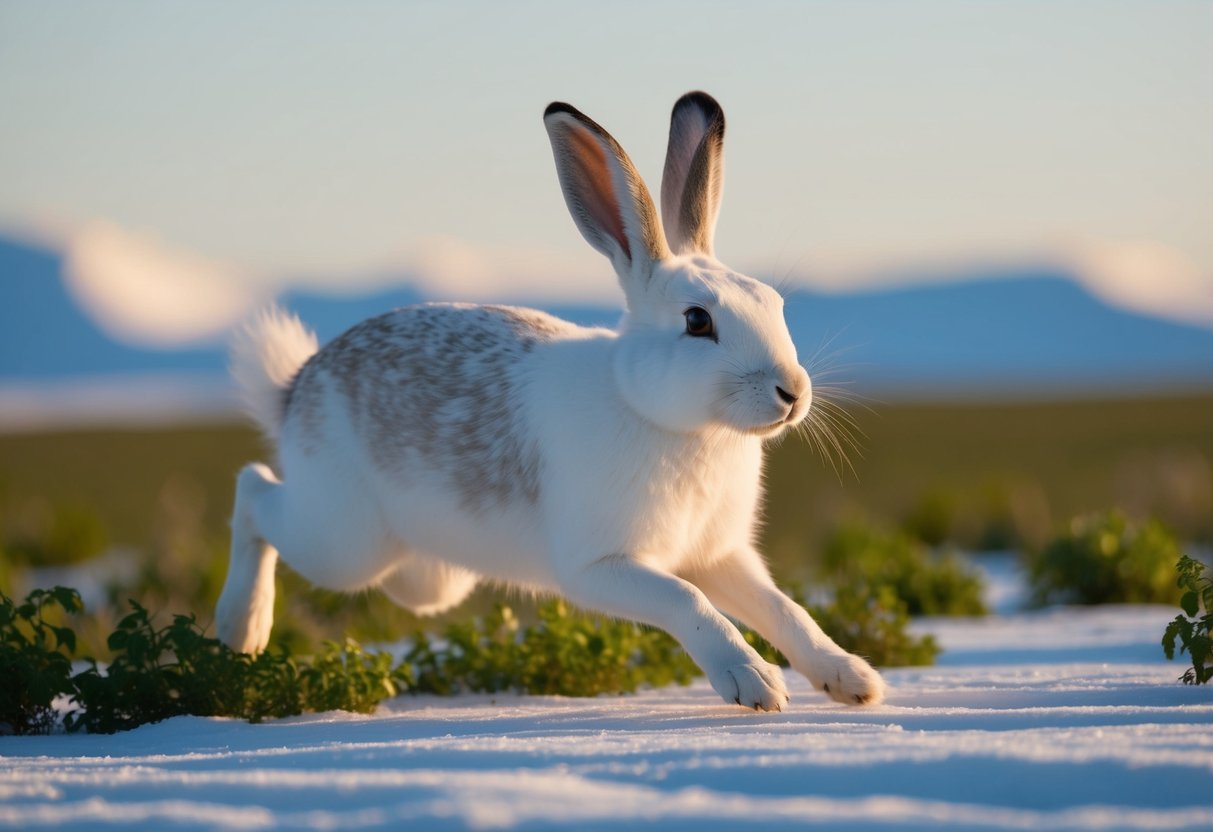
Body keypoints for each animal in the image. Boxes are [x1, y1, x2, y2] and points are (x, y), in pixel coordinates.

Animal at [215, 91, 886, 710]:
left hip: (424, 578)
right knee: (253, 492)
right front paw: (754, 684)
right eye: (698, 321)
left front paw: (854, 681)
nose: (792, 392)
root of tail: (296, 387)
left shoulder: (717, 555)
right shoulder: (602, 566)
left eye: (774, 302)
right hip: (343, 540)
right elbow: (688, 602)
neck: (669, 421)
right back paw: (241, 629)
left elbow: (784, 609)